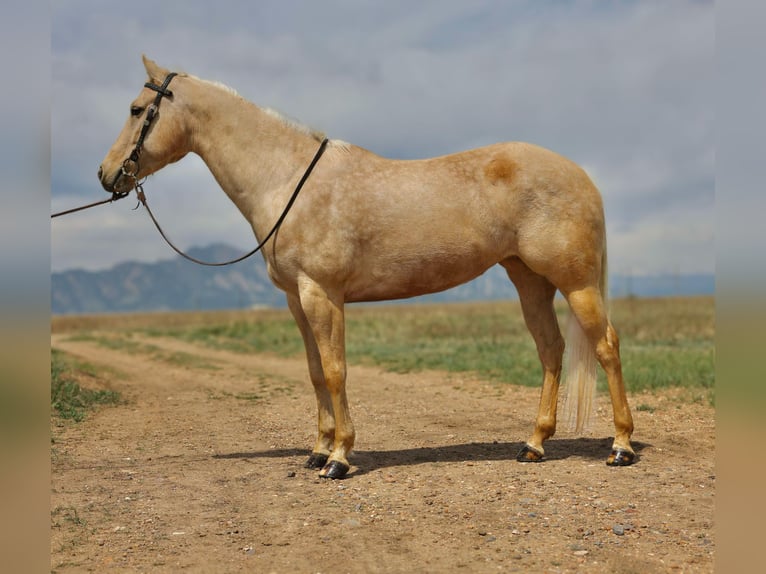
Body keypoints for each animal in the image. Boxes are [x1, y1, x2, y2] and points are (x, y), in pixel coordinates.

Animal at [98, 56, 635, 479]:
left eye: (135, 110)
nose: (106, 174)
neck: (287, 179)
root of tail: (581, 176)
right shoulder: (296, 300)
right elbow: (316, 372)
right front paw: (318, 451)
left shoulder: (322, 293)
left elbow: (336, 371)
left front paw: (339, 458)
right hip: (529, 280)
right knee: (551, 350)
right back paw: (534, 445)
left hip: (576, 283)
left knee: (606, 346)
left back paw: (621, 447)